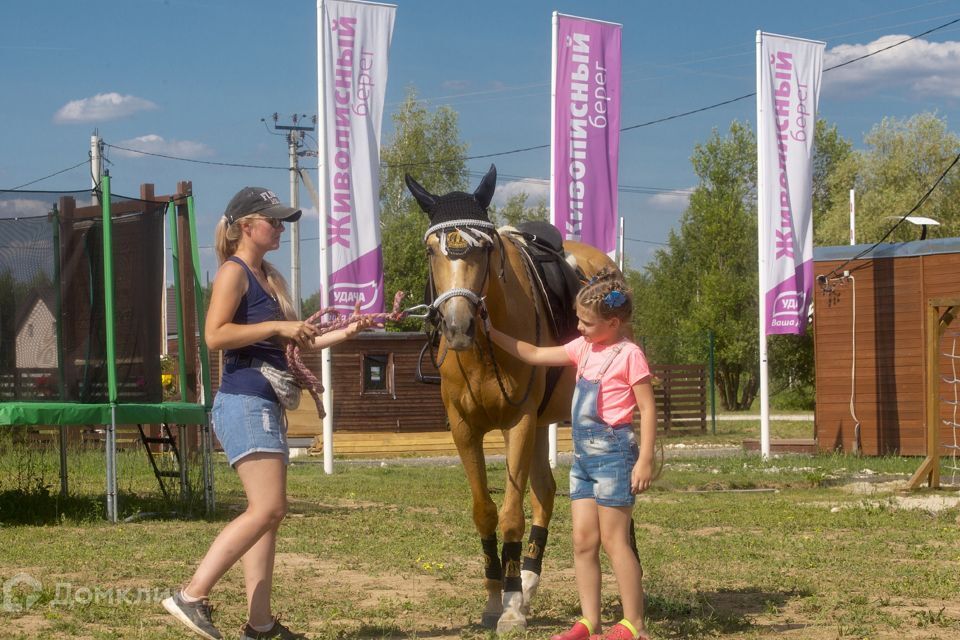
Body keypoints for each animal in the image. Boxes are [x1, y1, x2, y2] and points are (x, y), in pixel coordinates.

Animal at [404, 164, 616, 632]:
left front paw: (512, 606)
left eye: (483, 250)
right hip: (539, 424)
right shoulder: (464, 428)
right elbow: (485, 510)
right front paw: (494, 597)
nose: (458, 326)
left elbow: (511, 514)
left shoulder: (517, 423)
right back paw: (529, 581)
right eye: (431, 250)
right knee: (546, 491)